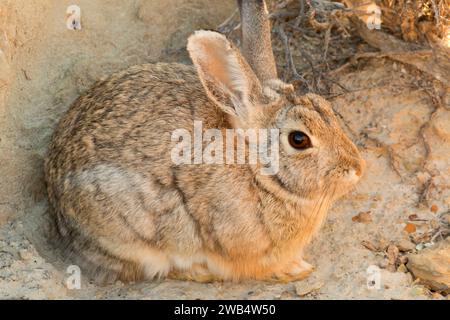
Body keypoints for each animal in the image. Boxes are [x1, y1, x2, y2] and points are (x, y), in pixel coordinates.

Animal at [44, 0, 364, 284]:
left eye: (325, 106)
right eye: (299, 140)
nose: (357, 169)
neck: (258, 171)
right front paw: (295, 270)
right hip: (130, 233)